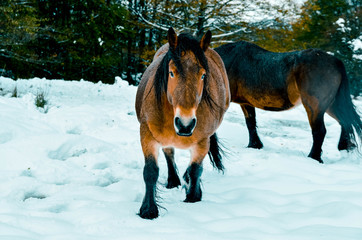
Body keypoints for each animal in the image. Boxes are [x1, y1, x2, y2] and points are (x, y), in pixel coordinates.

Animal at [134, 28, 230, 219]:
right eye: (171, 72)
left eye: (203, 75)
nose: (185, 124)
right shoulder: (147, 134)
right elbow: (150, 171)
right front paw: (148, 210)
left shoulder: (203, 141)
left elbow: (195, 169)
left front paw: (193, 197)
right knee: (169, 153)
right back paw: (173, 180)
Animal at [215, 41, 362, 163]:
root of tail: (336, 61)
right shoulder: (246, 103)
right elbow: (250, 123)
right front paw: (255, 145)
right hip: (332, 105)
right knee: (344, 122)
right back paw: (345, 148)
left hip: (315, 107)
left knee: (320, 131)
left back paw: (313, 157)